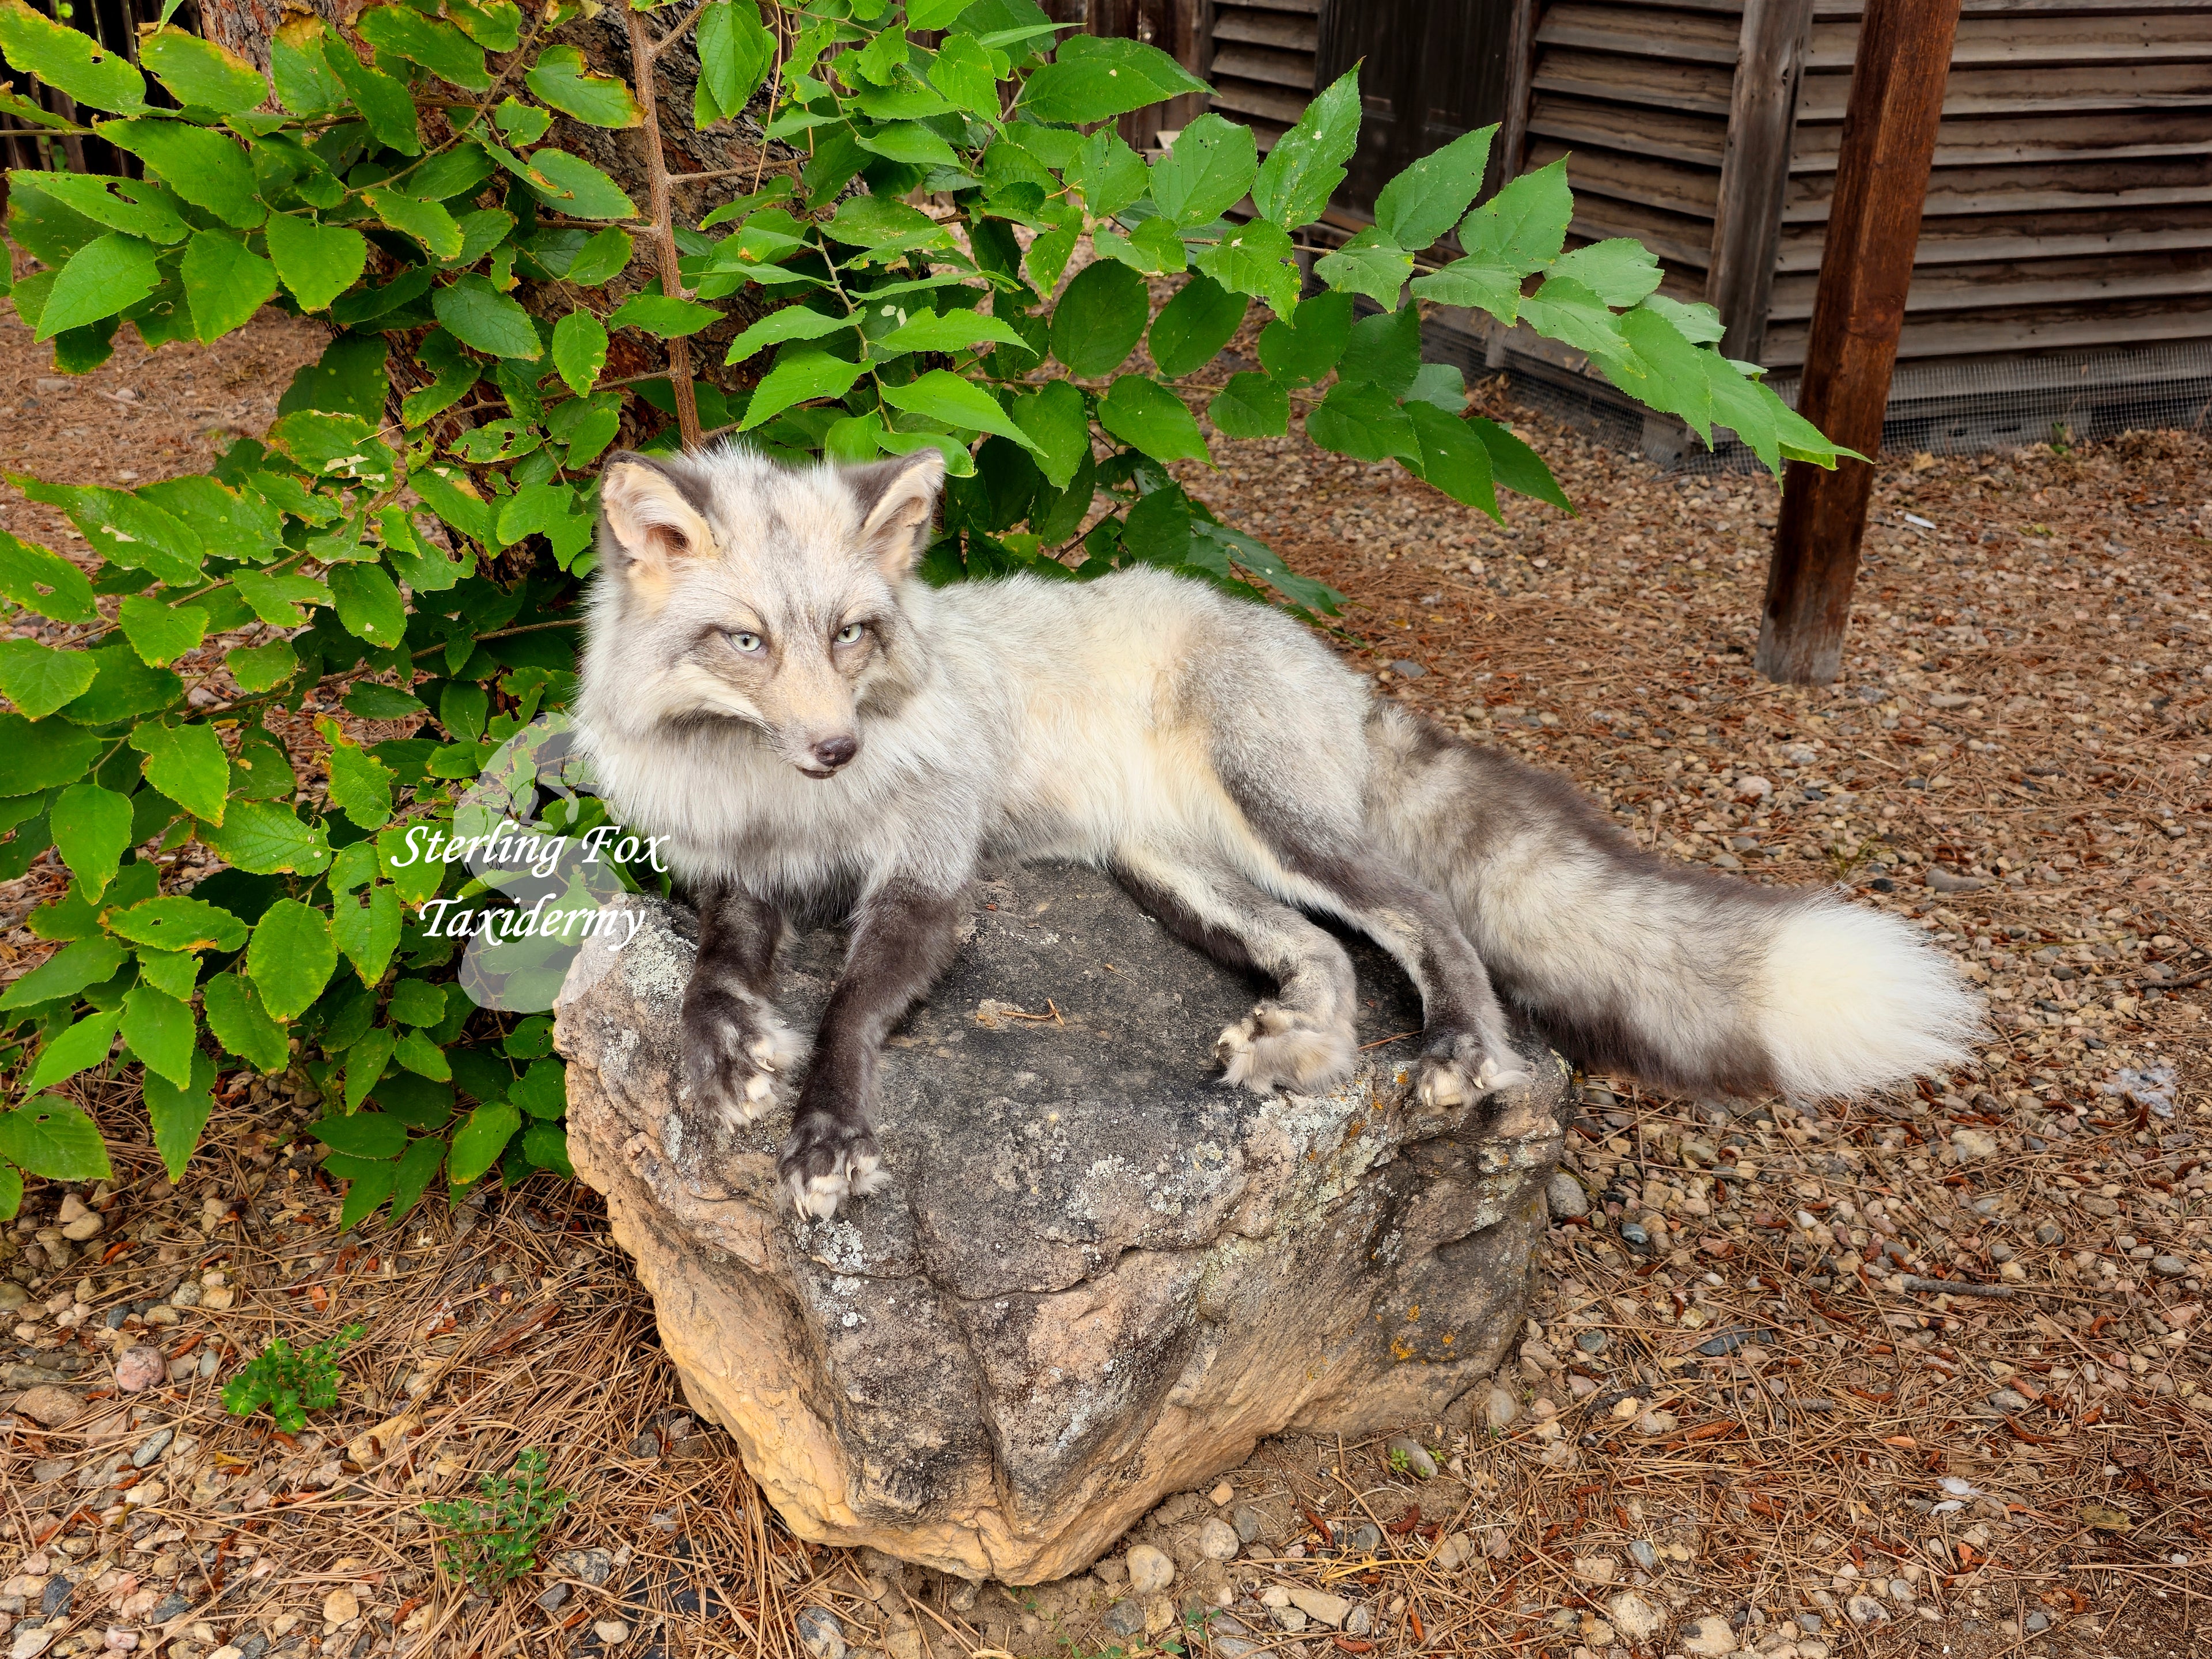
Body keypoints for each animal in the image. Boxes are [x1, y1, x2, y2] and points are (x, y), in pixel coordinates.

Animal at [573, 443, 1983, 1218]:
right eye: (745, 642)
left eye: (852, 633)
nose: (835, 749)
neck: (778, 802)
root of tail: (1323, 659)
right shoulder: (738, 876)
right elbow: (715, 973)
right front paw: (717, 1056)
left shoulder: (932, 873)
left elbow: (855, 1008)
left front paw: (827, 1132)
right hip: (1177, 869)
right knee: (1324, 959)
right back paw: (1298, 1046)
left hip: (1280, 823)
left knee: (1422, 918)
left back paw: (1464, 1050)